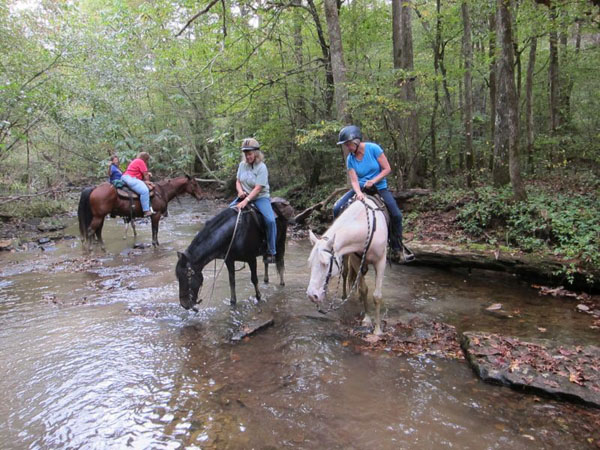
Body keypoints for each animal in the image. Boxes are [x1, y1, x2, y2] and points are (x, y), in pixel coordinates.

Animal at [308, 196, 386, 334]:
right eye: (310, 263)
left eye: (325, 263)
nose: (312, 296)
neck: (365, 226)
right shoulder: (355, 259)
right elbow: (364, 289)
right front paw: (367, 319)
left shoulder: (381, 261)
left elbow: (377, 296)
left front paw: (377, 330)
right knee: (345, 274)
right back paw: (345, 295)